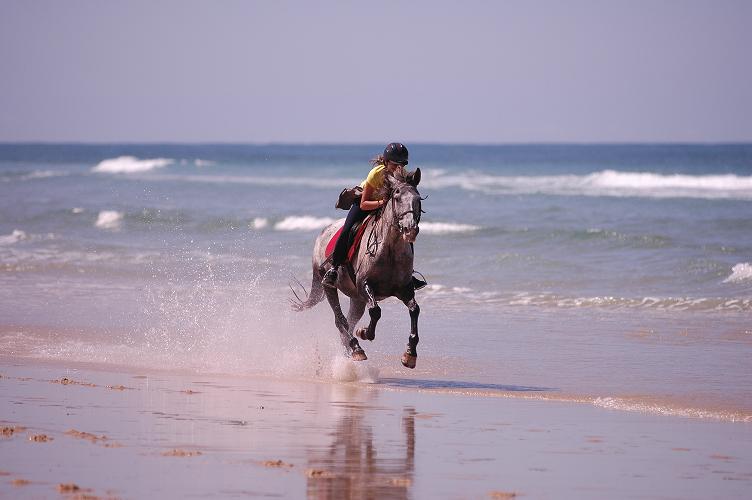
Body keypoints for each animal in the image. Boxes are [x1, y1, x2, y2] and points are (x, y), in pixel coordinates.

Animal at [290, 168, 424, 368]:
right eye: (397, 197)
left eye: (418, 198)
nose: (410, 229)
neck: (390, 250)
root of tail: (322, 234)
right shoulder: (364, 284)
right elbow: (375, 311)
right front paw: (365, 333)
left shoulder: (404, 289)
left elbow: (414, 310)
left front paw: (410, 354)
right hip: (329, 286)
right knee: (340, 320)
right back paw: (356, 348)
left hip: (357, 299)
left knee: (349, 322)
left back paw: (351, 351)